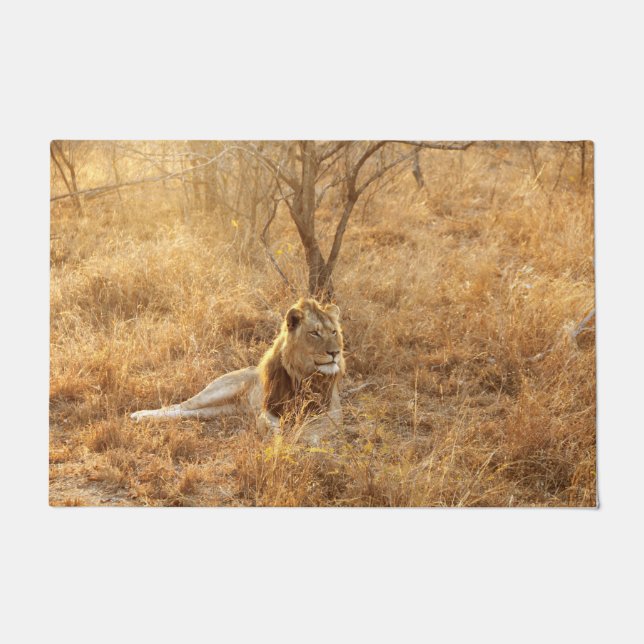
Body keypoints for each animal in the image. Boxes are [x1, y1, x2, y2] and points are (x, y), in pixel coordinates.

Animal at [130, 298, 345, 439]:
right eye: (314, 333)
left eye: (334, 332)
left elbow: (313, 430)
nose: (335, 352)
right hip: (217, 391)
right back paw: (140, 415)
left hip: (222, 410)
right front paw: (277, 437)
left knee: (189, 413)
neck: (304, 374)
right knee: (180, 406)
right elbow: (267, 424)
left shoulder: (332, 412)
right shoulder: (269, 409)